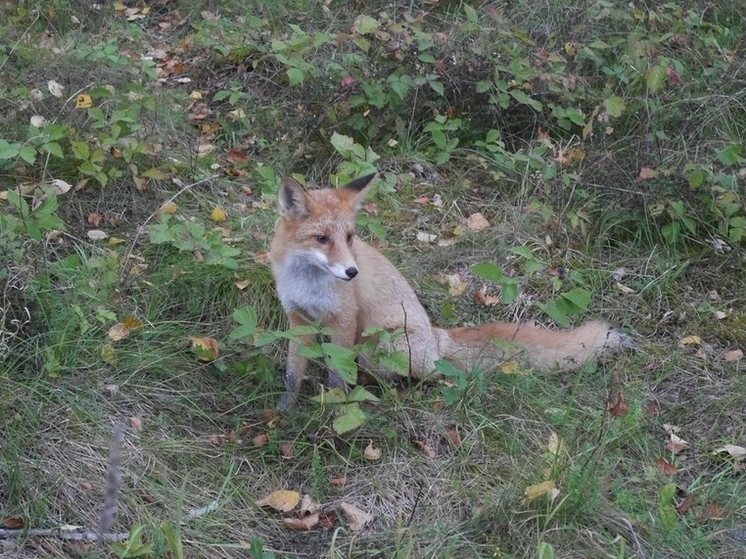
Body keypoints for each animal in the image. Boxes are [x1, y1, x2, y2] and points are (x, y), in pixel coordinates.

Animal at [268, 173, 620, 410]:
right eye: (322, 239)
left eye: (350, 237)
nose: (352, 272)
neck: (308, 282)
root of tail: (438, 336)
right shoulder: (298, 318)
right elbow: (292, 372)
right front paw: (285, 409)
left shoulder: (344, 319)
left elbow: (337, 374)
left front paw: (333, 406)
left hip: (387, 344)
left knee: (432, 374)